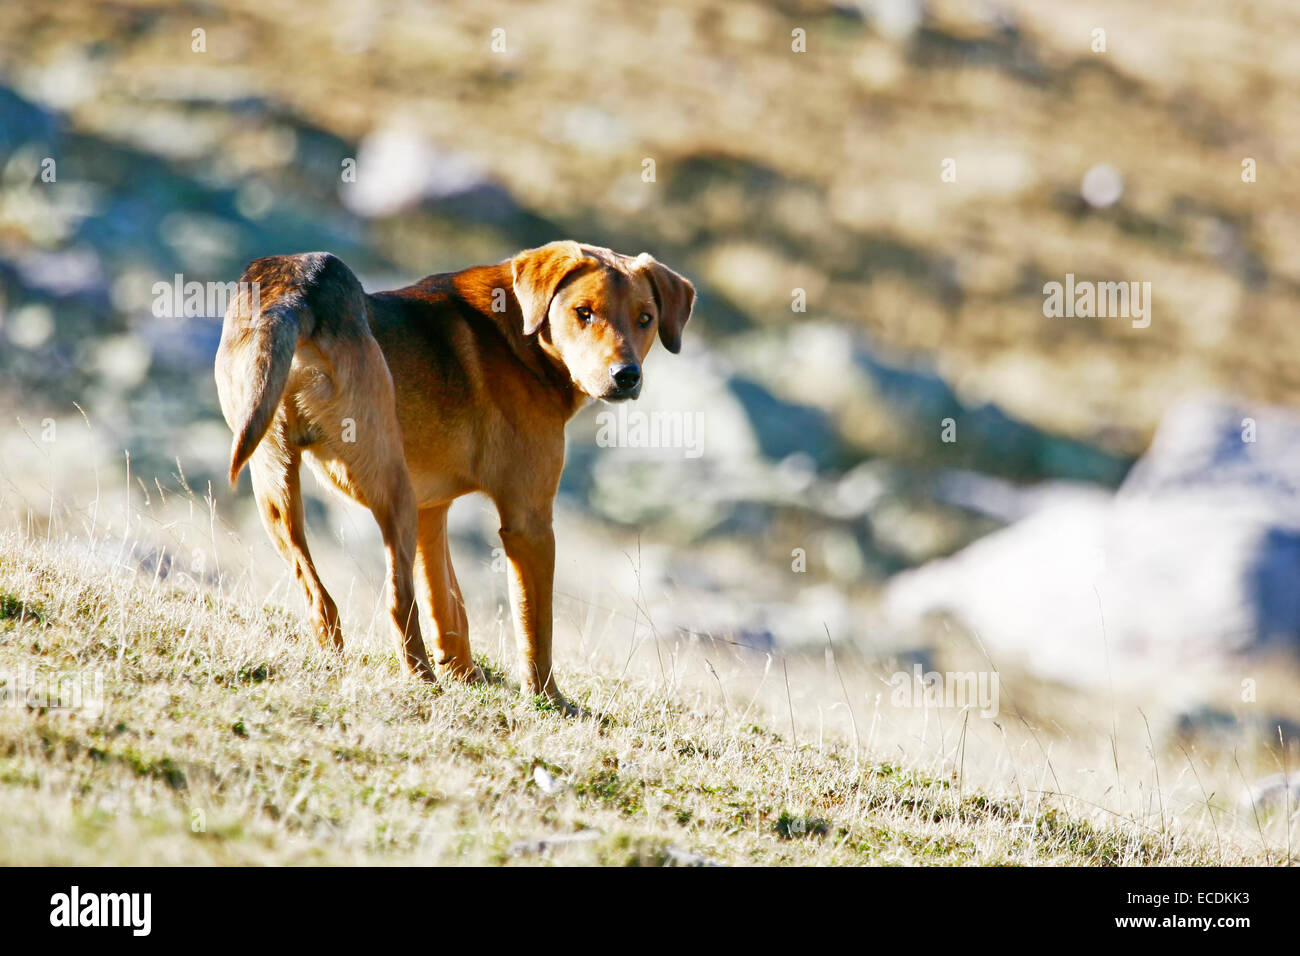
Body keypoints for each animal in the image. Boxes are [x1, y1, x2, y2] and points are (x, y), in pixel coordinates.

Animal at [213, 243, 696, 712]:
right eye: (584, 312)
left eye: (646, 318)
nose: (626, 376)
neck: (523, 333)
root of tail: (299, 288)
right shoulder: (529, 523)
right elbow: (535, 625)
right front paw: (547, 699)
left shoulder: (432, 508)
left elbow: (446, 600)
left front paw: (464, 672)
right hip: (390, 486)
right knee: (395, 598)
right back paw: (422, 679)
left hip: (276, 481)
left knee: (319, 594)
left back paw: (346, 661)